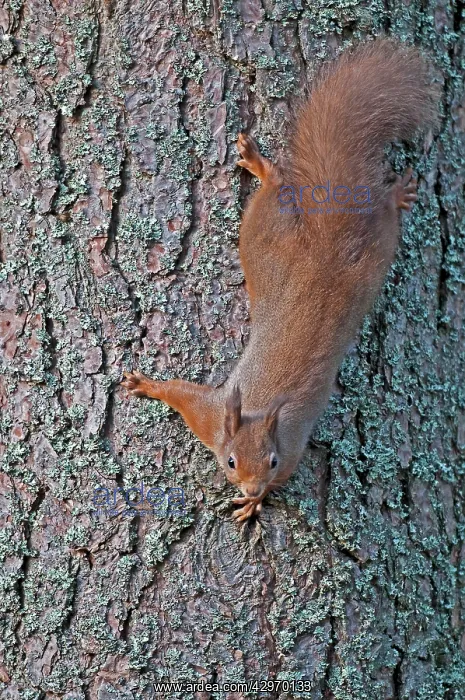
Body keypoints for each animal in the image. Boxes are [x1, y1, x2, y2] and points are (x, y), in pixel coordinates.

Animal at [121, 38, 439, 521]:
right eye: (231, 461)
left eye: (270, 462)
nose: (252, 487)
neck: (255, 415)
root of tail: (326, 248)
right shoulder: (212, 416)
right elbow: (182, 395)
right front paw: (147, 385)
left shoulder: (288, 450)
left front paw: (255, 504)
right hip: (281, 238)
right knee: (288, 189)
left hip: (348, 252)